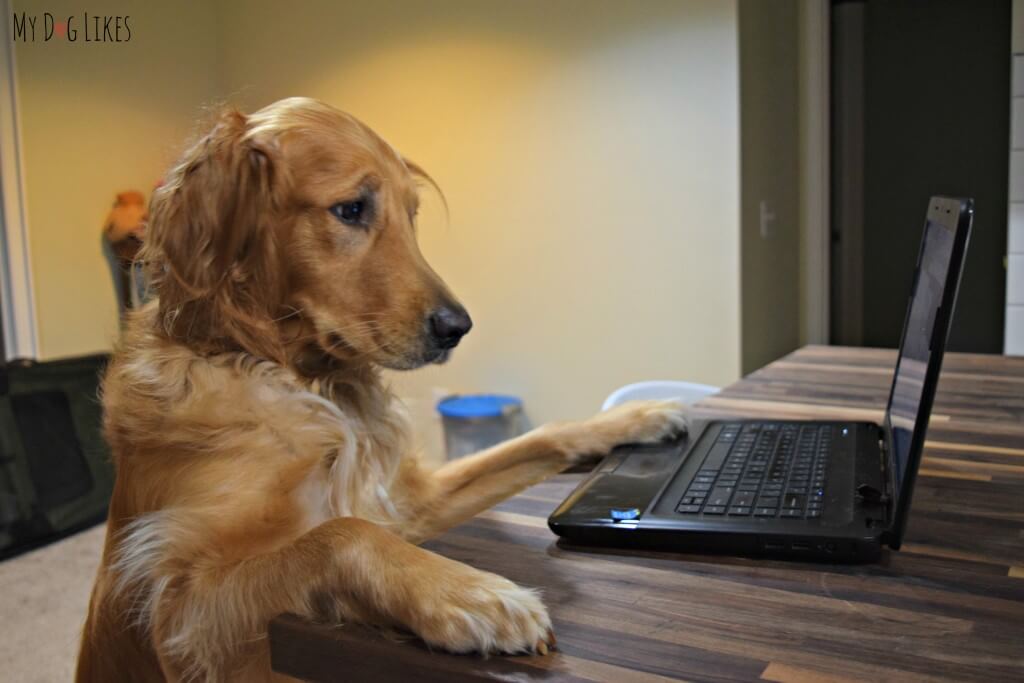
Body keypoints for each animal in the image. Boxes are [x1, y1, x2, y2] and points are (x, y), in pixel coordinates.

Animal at [75, 97, 688, 683]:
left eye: (410, 216)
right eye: (351, 209)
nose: (457, 328)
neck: (296, 377)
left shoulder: (408, 503)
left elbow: (538, 437)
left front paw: (632, 418)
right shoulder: (177, 612)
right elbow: (341, 532)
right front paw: (473, 594)